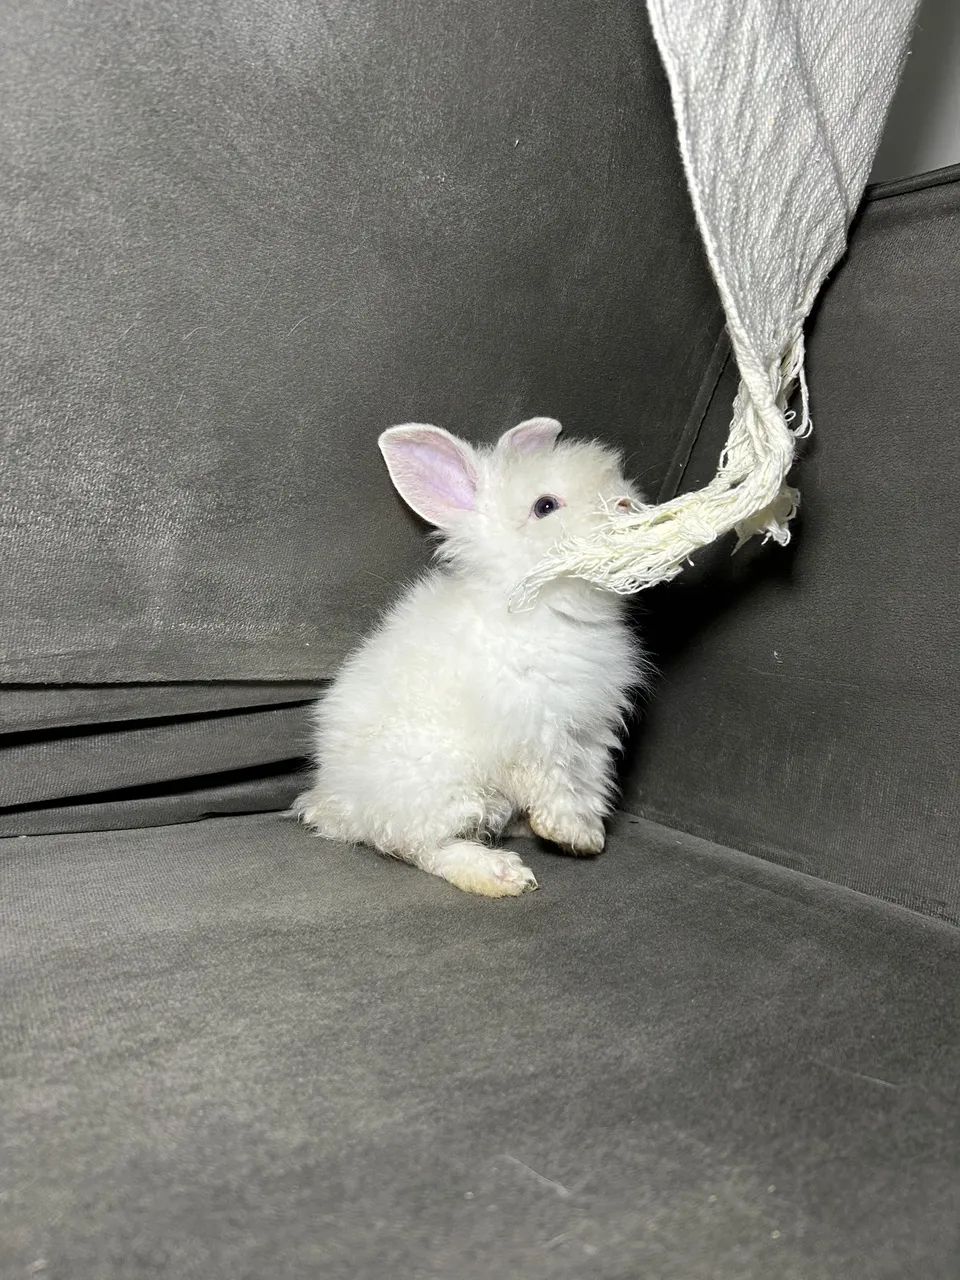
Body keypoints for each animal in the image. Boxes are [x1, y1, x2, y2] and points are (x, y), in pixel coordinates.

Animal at [292, 416, 645, 897]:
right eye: (545, 506)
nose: (629, 506)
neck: (542, 603)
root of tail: (338, 804)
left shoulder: (590, 734)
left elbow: (588, 784)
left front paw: (588, 837)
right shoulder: (534, 733)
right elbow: (554, 784)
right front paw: (566, 831)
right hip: (444, 790)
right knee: (422, 847)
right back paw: (501, 874)